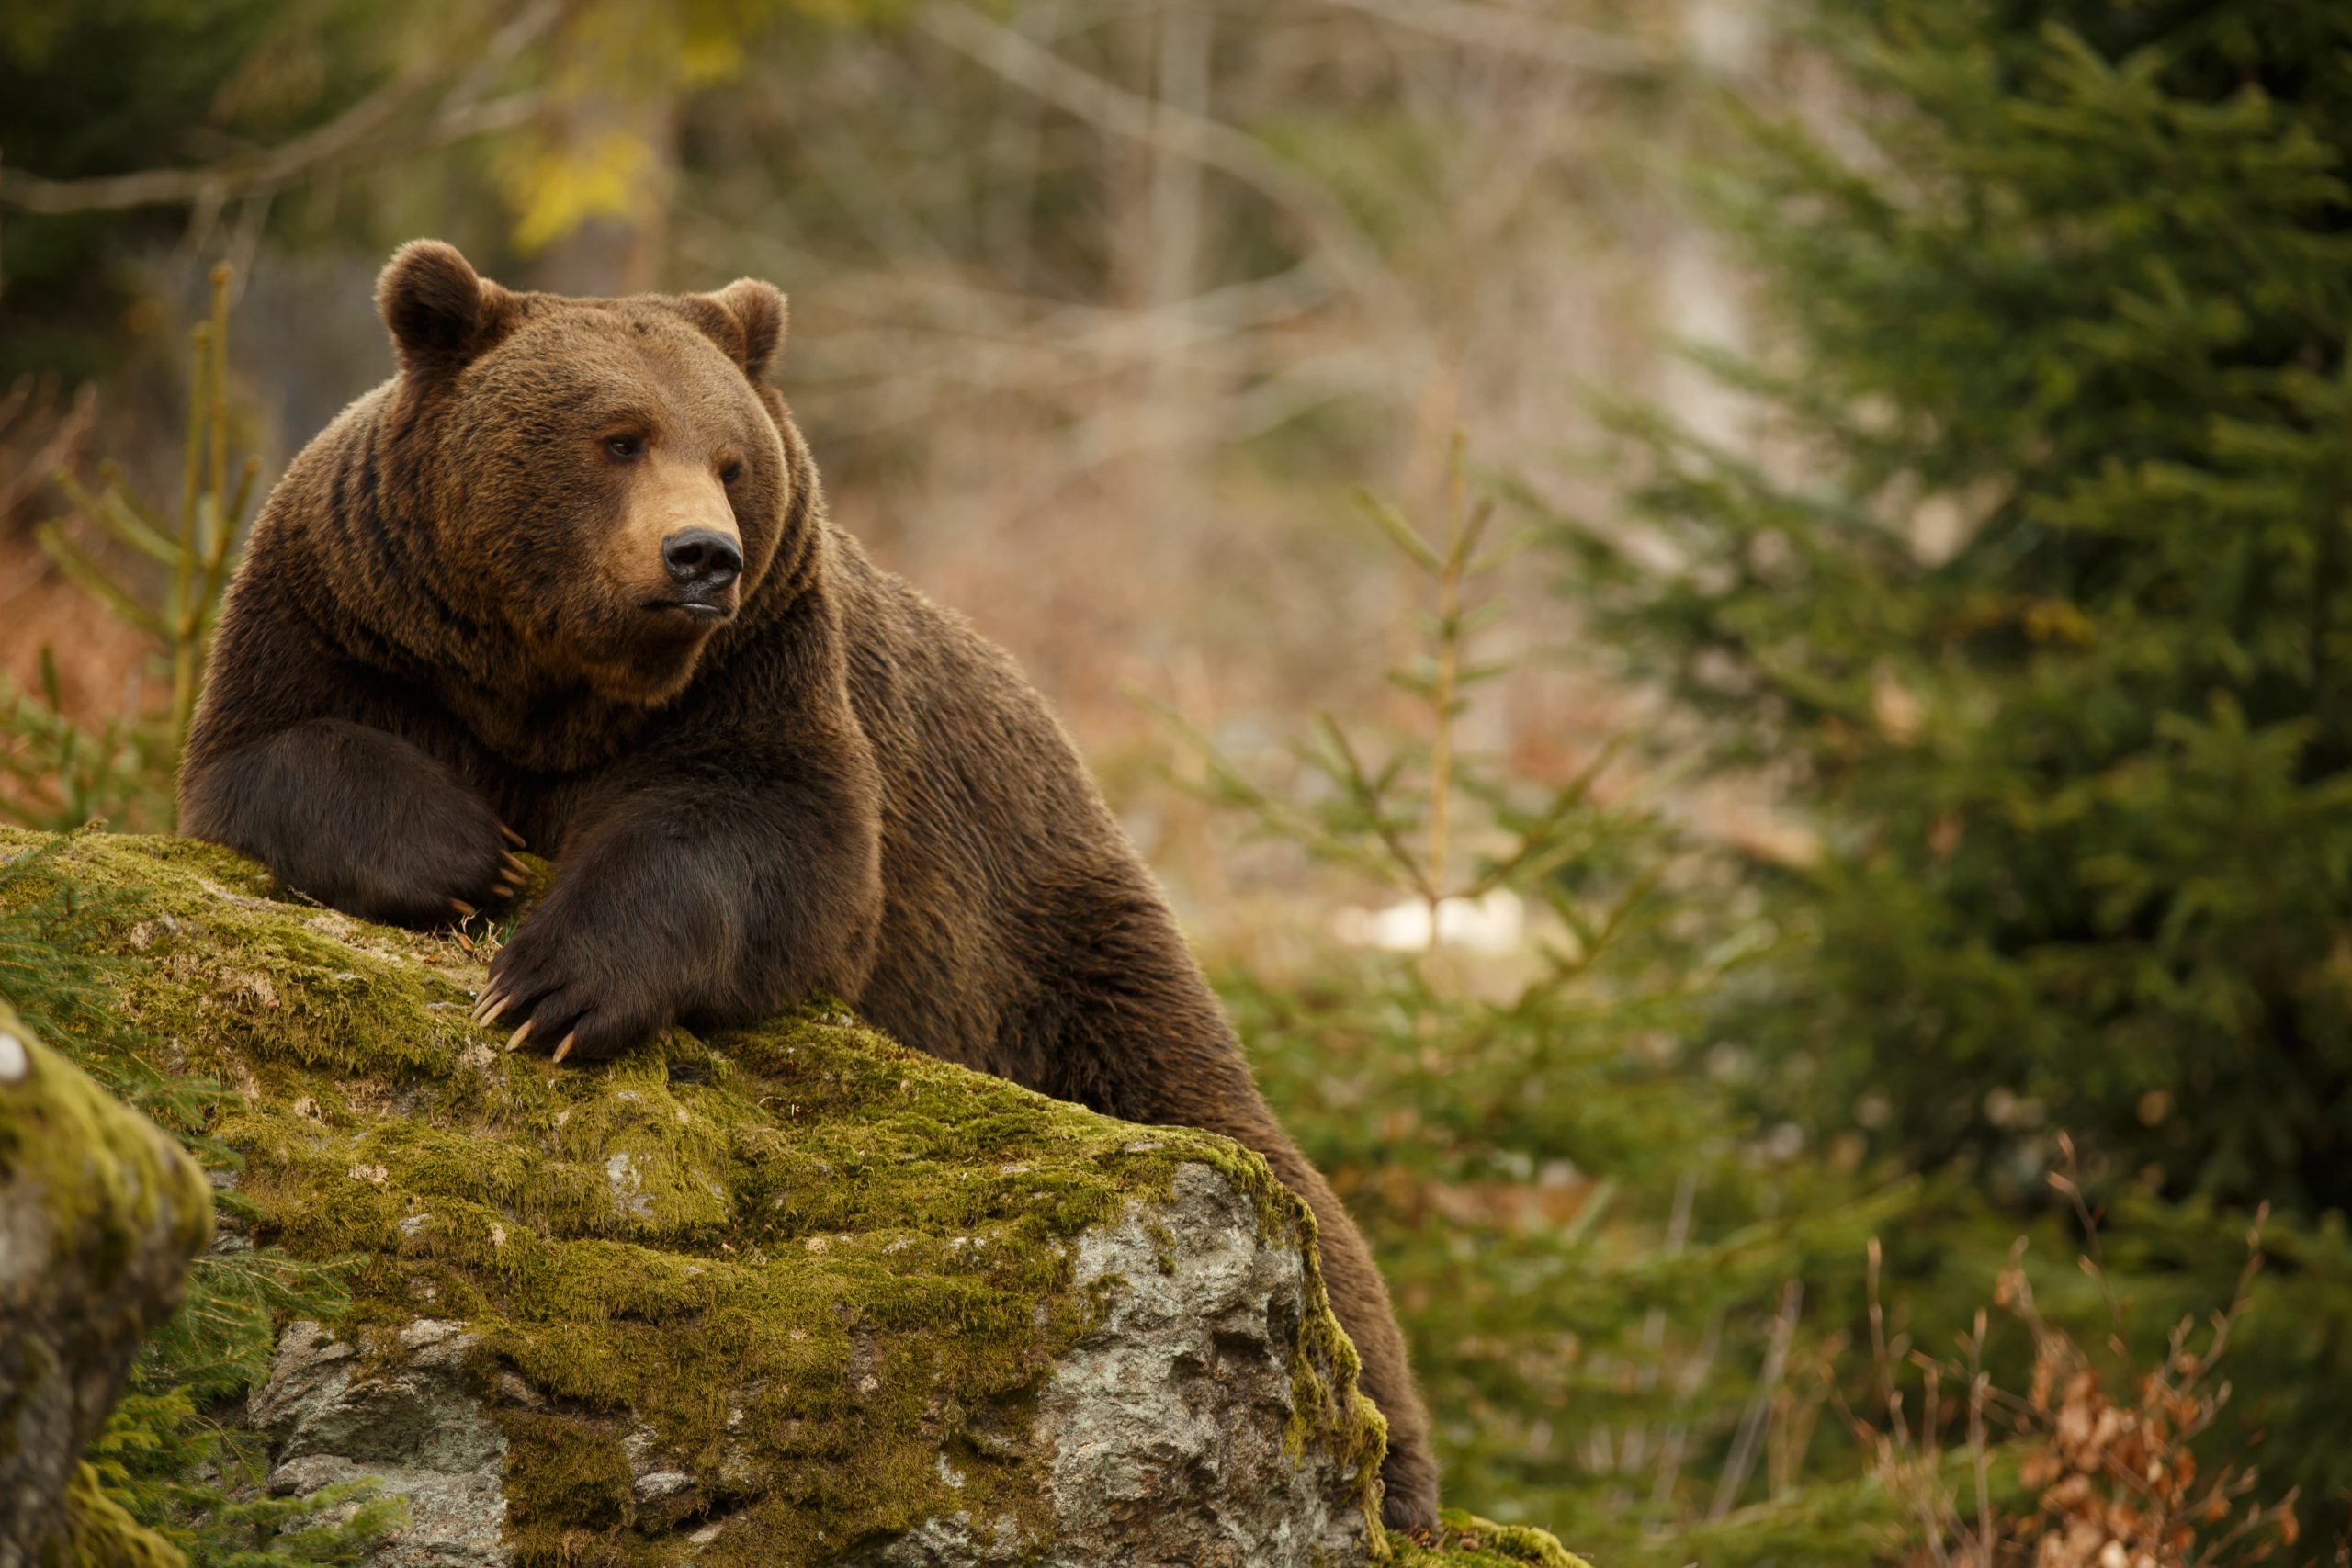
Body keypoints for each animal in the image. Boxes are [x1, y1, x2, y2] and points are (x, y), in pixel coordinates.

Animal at [178, 245, 1430, 1532]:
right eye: (618, 437)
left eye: (731, 458)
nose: (702, 555)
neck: (553, 685)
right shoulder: (348, 613)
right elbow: (275, 751)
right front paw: (468, 854)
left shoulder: (763, 675)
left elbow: (768, 847)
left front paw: (551, 986)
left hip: (1048, 942)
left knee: (1259, 1171)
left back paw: (1389, 1465)